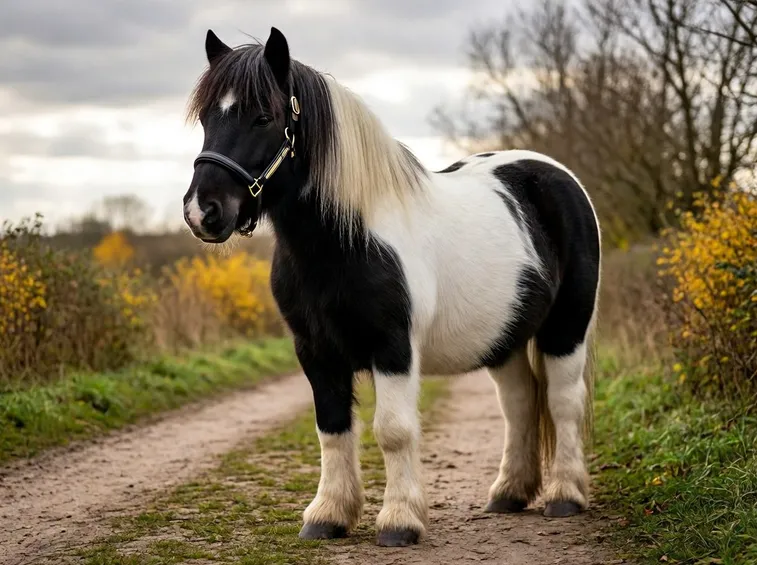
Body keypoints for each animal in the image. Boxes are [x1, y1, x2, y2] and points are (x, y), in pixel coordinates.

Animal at [182, 27, 601, 548]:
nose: (203, 211)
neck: (346, 240)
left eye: (265, 116)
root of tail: (556, 175)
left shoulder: (393, 347)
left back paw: (565, 495)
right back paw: (509, 493)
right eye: (206, 117)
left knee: (563, 402)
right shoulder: (315, 352)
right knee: (520, 403)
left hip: (567, 328)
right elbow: (332, 429)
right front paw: (328, 516)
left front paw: (399, 520)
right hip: (503, 338)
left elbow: (394, 430)